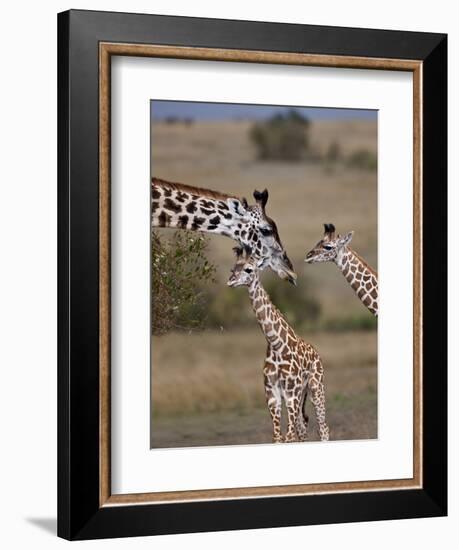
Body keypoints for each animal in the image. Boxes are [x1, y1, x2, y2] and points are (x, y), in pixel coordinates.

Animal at [227, 248, 330, 446]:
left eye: (249, 269)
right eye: (232, 268)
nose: (231, 281)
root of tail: (317, 353)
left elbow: (288, 436)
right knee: (303, 428)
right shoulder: (272, 394)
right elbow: (278, 437)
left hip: (315, 388)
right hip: (302, 396)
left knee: (323, 428)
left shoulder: (291, 393)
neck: (276, 345)